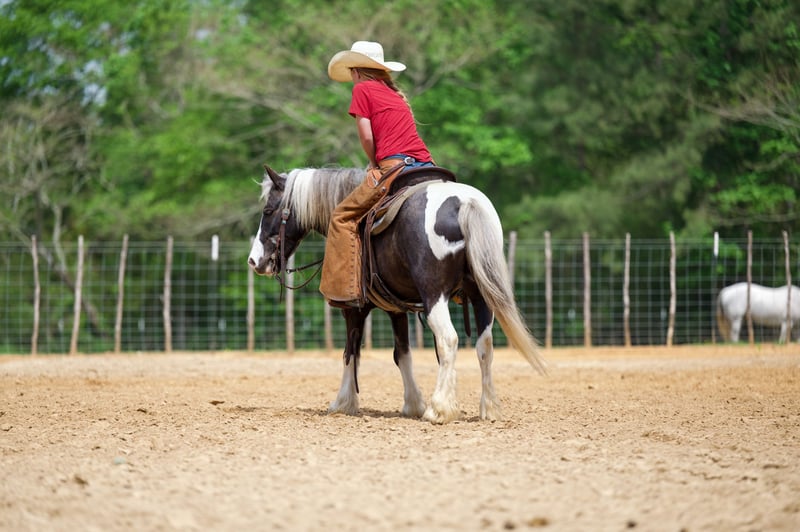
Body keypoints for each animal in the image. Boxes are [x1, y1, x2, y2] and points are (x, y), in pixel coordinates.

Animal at [247, 165, 546, 424]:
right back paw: (489, 408)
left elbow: (350, 352)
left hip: (435, 295)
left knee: (448, 340)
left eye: (268, 210)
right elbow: (402, 353)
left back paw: (439, 409)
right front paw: (412, 403)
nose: (254, 261)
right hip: (481, 297)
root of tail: (464, 203)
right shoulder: (396, 308)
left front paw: (344, 402)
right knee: (485, 346)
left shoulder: (353, 309)